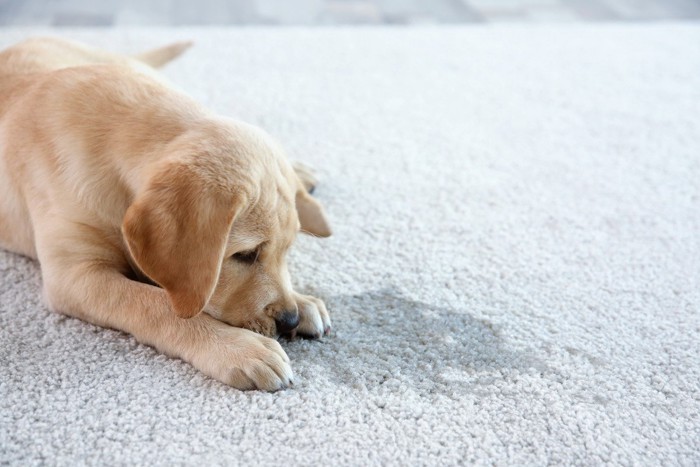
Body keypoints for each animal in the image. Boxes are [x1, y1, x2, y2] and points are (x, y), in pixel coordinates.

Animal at [0, 38, 334, 394]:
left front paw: (302, 300)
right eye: (245, 255)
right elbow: (154, 303)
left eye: (287, 251)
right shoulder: (75, 275)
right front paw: (238, 347)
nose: (289, 320)